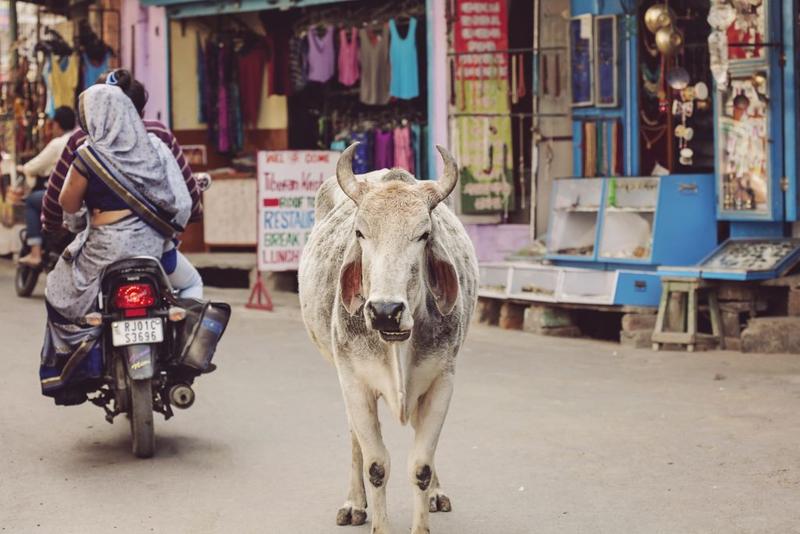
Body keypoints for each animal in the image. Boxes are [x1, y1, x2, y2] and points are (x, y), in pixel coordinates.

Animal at [298, 143, 478, 534]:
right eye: (360, 233)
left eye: (424, 234)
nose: (385, 310)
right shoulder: (354, 382)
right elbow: (376, 465)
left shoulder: (442, 382)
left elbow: (420, 466)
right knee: (355, 440)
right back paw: (354, 503)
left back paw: (436, 493)